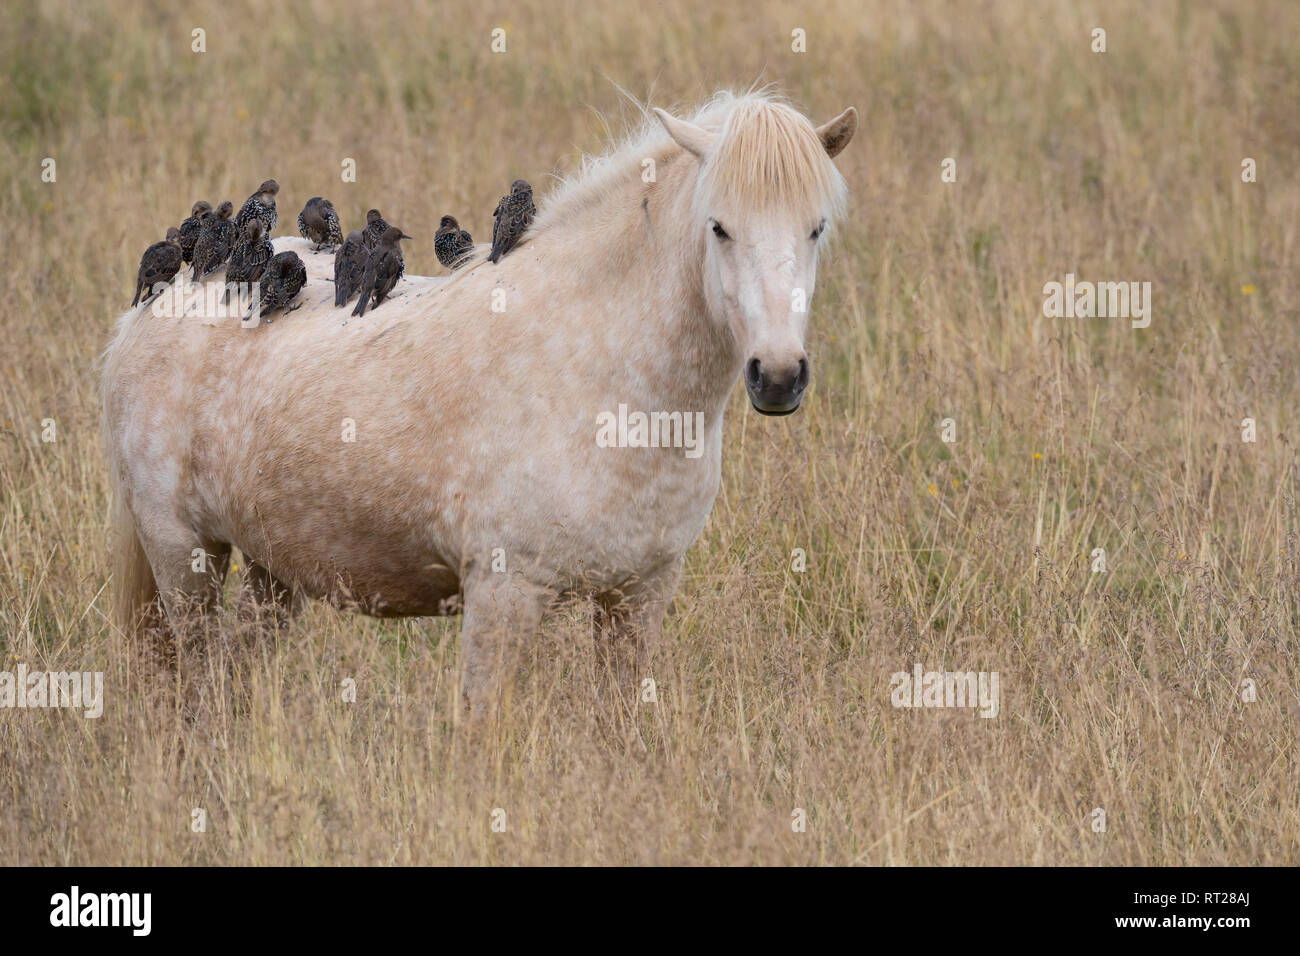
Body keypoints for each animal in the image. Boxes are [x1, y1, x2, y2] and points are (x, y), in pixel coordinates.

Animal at [101, 89, 852, 707]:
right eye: (718, 227)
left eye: (817, 228)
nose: (778, 376)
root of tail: (151, 307)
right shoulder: (504, 595)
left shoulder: (639, 597)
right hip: (184, 559)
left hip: (271, 571)